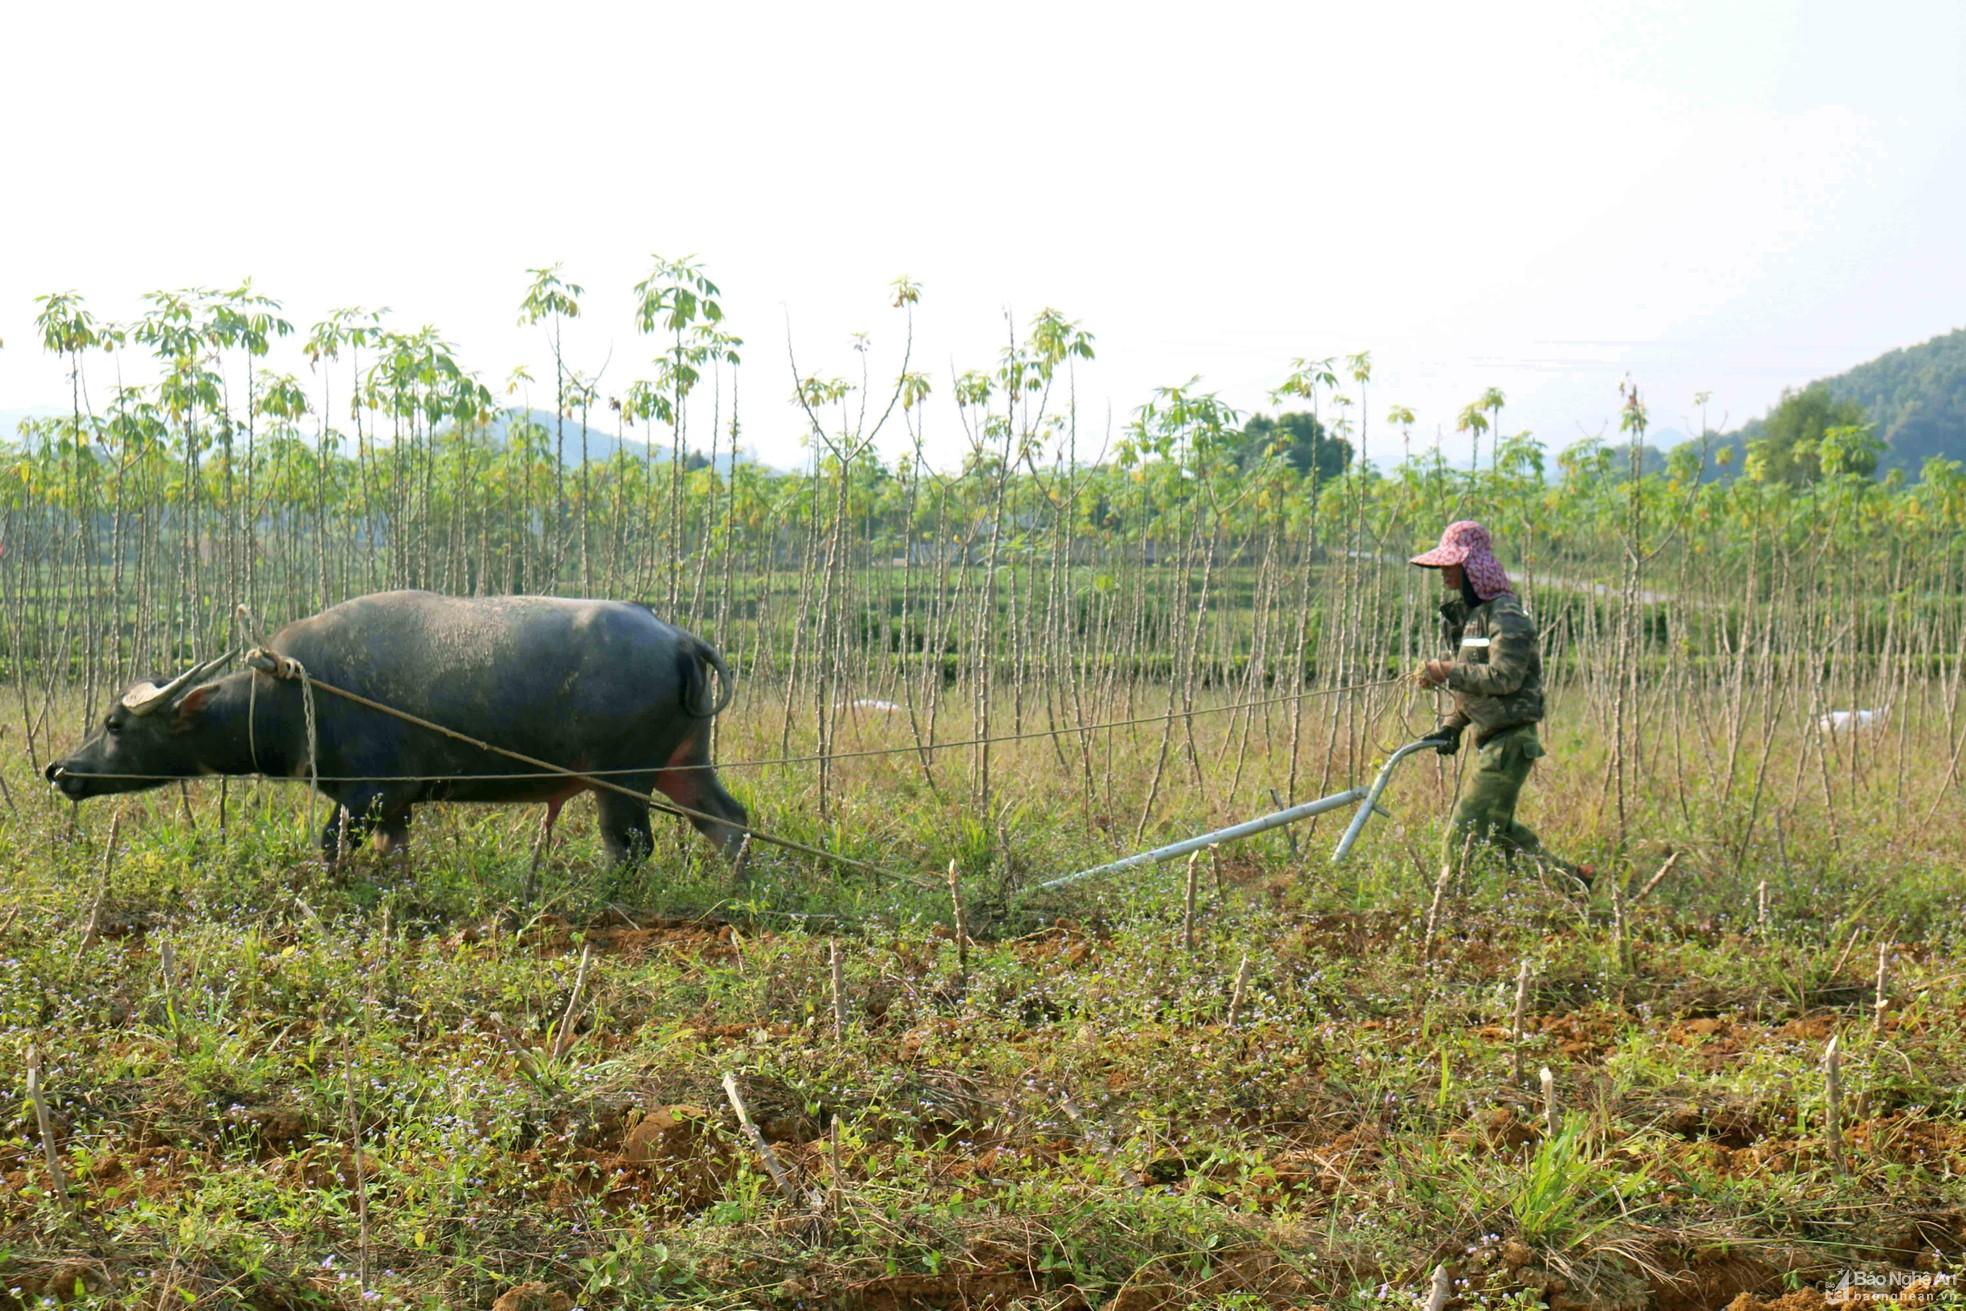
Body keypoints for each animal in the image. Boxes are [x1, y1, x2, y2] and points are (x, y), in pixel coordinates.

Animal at [47, 593, 751, 860]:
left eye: (114, 724)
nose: (60, 770)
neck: (294, 690)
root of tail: (677, 636)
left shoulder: (371, 794)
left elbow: (329, 845)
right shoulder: (396, 807)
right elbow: (394, 855)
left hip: (621, 778)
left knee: (629, 845)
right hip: (683, 762)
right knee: (728, 821)